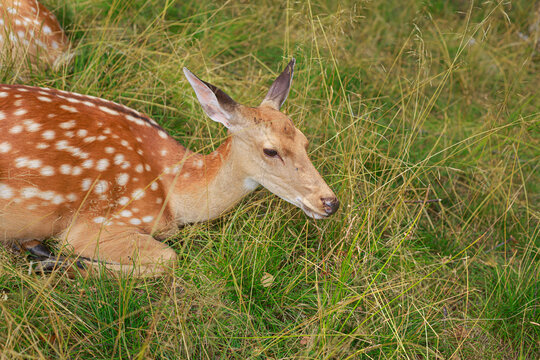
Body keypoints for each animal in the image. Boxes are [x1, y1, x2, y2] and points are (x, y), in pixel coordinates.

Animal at [0, 59, 338, 274]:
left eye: (305, 141)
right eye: (271, 150)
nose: (330, 202)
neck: (174, 194)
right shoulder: (97, 222)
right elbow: (169, 258)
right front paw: (54, 261)